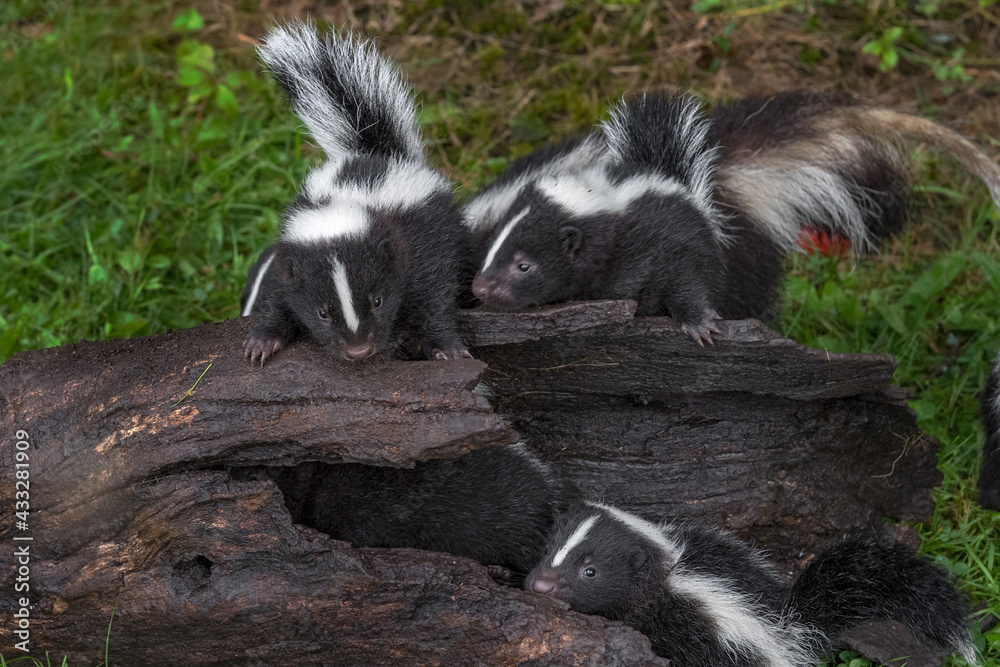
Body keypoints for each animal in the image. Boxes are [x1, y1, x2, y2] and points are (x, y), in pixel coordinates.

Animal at [240, 23, 470, 366]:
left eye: (378, 300)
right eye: (322, 313)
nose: (358, 350)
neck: (351, 197)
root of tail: (377, 153)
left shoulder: (419, 244)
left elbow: (435, 296)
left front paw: (447, 348)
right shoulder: (288, 257)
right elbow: (279, 296)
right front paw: (263, 341)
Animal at [528, 504, 980, 664]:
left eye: (590, 572)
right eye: (548, 548)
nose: (540, 585)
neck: (666, 565)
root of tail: (792, 624)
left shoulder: (686, 624)